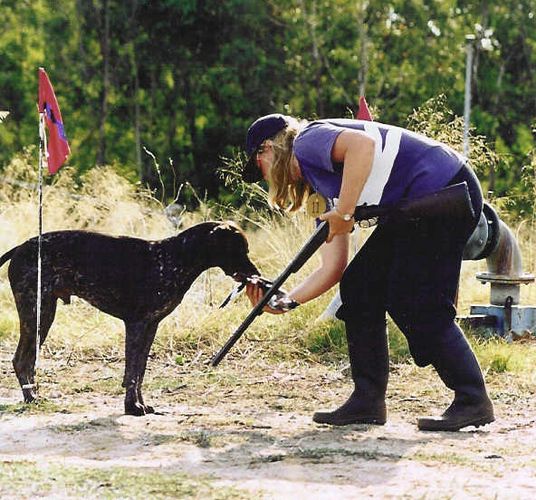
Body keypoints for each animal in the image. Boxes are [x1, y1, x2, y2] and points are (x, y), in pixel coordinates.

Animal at [0, 221, 259, 415]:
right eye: (240, 249)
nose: (255, 274)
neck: (175, 258)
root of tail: (20, 247)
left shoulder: (151, 326)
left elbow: (140, 371)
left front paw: (140, 404)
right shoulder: (137, 325)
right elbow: (132, 373)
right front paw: (132, 407)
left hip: (42, 315)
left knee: (27, 361)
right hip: (37, 312)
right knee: (21, 360)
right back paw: (31, 397)